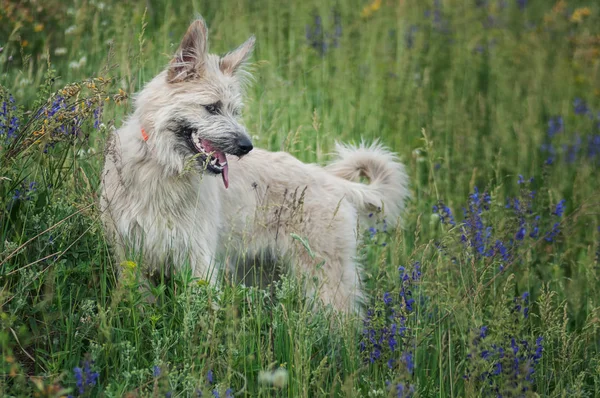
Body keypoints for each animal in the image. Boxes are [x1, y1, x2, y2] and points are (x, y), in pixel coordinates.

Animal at [101, 17, 410, 312]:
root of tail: (332, 181)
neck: (162, 165)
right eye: (212, 107)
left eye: (235, 111)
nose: (245, 146)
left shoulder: (197, 257)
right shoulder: (130, 255)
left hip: (324, 280)